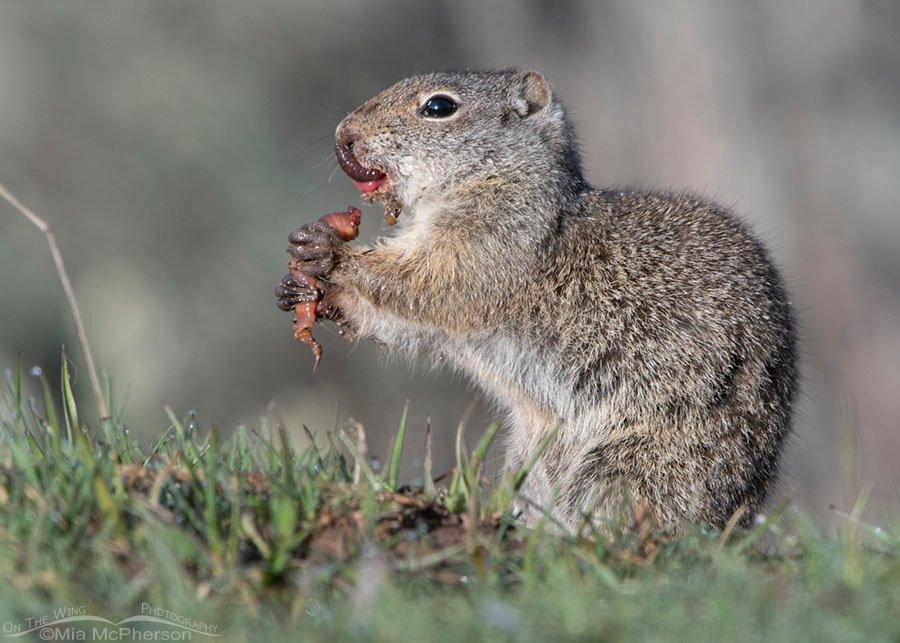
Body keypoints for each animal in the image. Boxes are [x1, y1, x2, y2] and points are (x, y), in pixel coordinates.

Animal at [276, 69, 799, 532]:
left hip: (642, 461)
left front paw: (331, 254)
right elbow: (410, 322)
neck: (500, 177)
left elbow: (433, 284)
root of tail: (740, 513)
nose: (344, 135)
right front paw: (306, 288)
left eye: (439, 107)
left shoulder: (496, 239)